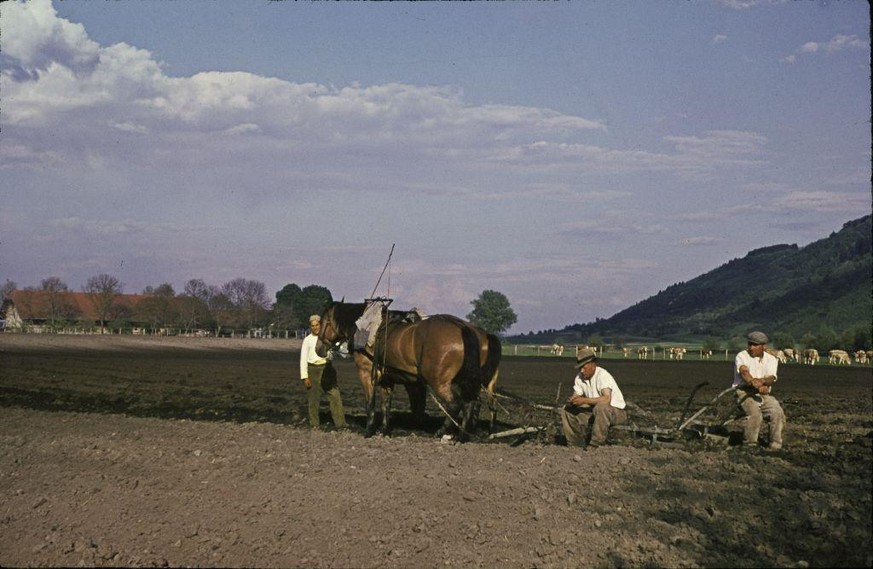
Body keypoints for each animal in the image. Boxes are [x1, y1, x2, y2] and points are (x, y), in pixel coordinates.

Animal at [318, 302, 498, 440]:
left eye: (324, 322)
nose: (318, 349)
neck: (367, 328)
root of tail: (463, 327)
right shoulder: (387, 379)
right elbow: (386, 404)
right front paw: (385, 430)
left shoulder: (366, 373)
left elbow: (370, 402)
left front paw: (369, 430)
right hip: (466, 381)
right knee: (471, 403)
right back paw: (462, 435)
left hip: (438, 381)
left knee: (455, 404)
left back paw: (441, 432)